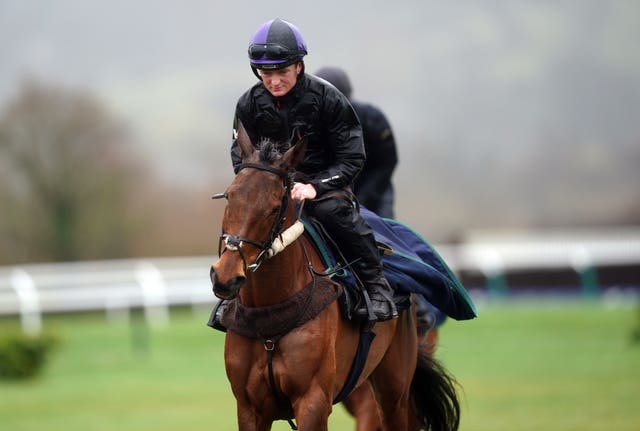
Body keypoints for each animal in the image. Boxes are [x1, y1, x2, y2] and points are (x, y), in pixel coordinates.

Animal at [211, 123, 460, 430]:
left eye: (274, 207)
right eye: (229, 195)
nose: (225, 276)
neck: (269, 315)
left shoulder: (313, 401)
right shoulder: (249, 407)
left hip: (394, 391)